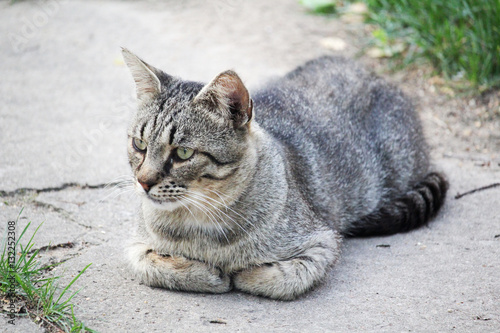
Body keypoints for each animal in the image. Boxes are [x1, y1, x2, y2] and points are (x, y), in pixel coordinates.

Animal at [122, 48, 450, 300]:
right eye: (139, 145)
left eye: (183, 153)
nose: (143, 181)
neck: (200, 224)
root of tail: (372, 72)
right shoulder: (135, 243)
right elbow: (153, 265)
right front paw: (206, 273)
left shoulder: (323, 242)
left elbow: (279, 278)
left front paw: (238, 274)